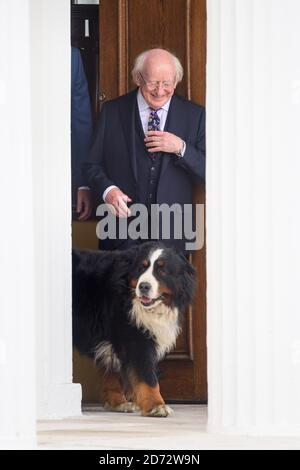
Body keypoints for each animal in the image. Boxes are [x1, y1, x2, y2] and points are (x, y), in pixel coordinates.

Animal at [72, 242, 196, 418]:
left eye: (162, 270)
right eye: (141, 268)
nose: (144, 286)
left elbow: (113, 371)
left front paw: (118, 402)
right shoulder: (135, 337)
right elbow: (147, 376)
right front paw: (156, 406)